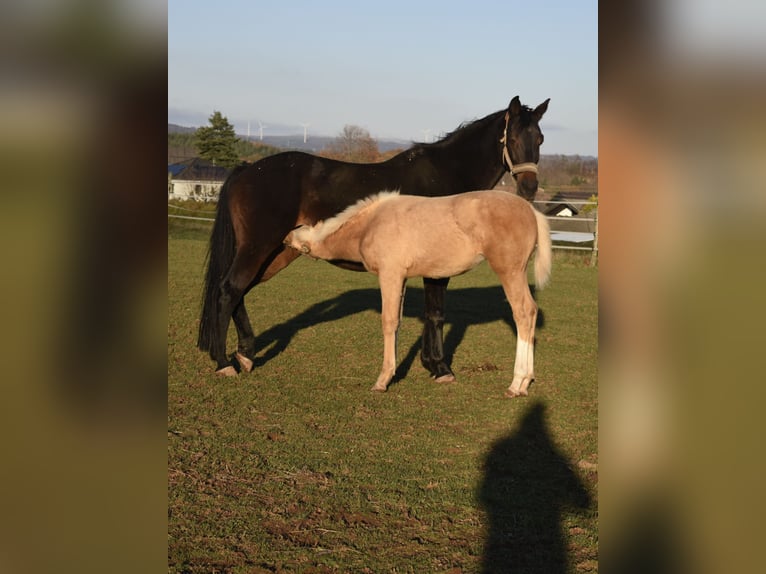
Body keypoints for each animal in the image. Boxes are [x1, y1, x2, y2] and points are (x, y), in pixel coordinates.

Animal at [284, 190, 552, 396]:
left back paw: (517, 383)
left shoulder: (390, 274)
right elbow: (397, 322)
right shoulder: (401, 278)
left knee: (523, 312)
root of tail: (531, 210)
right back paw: (525, 382)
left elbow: (389, 322)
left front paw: (383, 380)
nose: (285, 240)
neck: (371, 224)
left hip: (509, 271)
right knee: (530, 312)